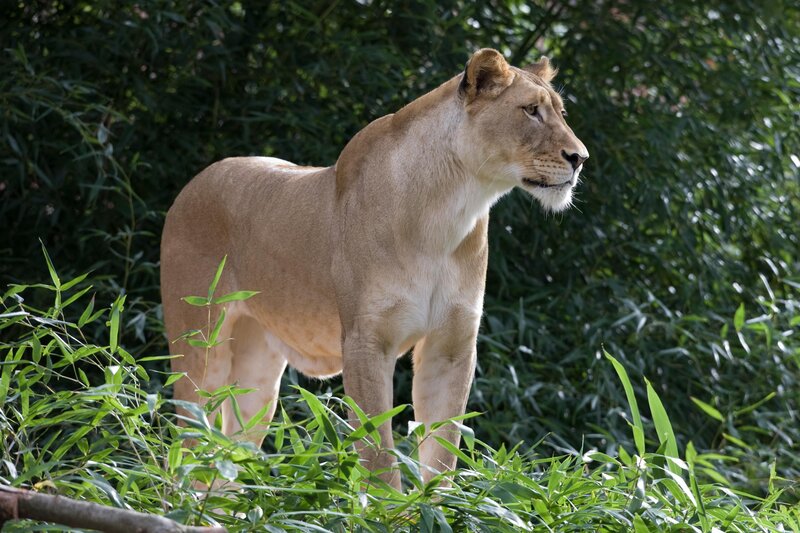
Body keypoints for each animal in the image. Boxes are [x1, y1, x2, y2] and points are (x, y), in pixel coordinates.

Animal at [161, 48, 588, 488]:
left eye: (561, 112)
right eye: (531, 111)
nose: (580, 158)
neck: (452, 209)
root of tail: (194, 182)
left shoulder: (451, 346)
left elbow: (442, 451)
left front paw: (436, 501)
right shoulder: (366, 339)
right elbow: (379, 452)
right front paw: (388, 503)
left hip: (257, 373)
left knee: (230, 455)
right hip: (200, 346)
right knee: (189, 443)